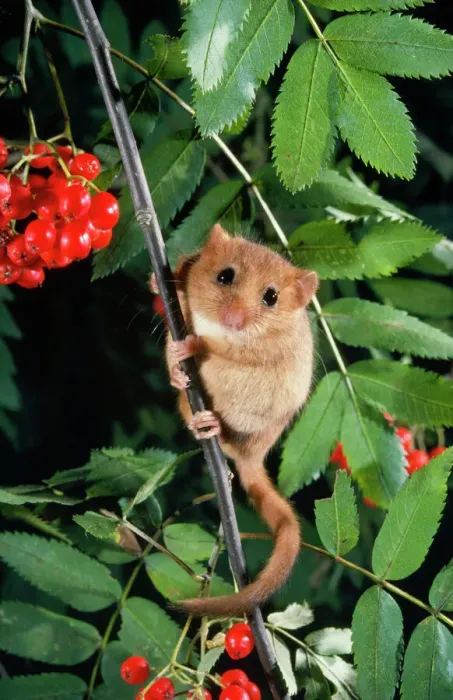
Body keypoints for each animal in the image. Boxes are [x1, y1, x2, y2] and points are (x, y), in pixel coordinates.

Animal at [151, 224, 318, 616]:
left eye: (271, 297)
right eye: (224, 276)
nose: (233, 320)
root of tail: (253, 458)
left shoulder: (258, 349)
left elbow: (218, 348)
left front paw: (192, 346)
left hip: (253, 426)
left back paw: (214, 426)